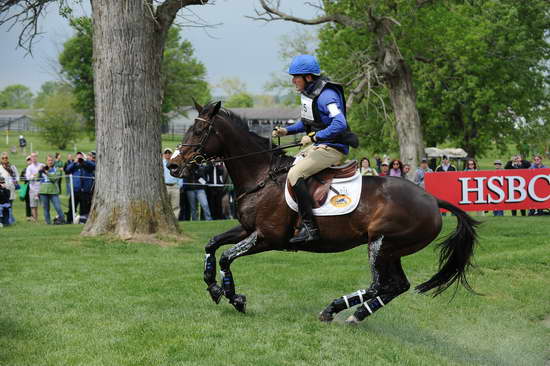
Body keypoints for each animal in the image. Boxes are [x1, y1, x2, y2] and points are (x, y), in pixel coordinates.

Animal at [167, 100, 478, 324]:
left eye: (199, 132)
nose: (173, 165)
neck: (261, 175)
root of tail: (432, 199)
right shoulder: (246, 229)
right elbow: (212, 246)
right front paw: (214, 287)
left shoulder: (267, 237)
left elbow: (226, 257)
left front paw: (234, 297)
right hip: (393, 250)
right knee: (396, 285)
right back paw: (355, 315)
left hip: (380, 244)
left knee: (379, 284)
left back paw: (334, 309)